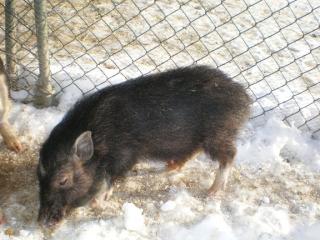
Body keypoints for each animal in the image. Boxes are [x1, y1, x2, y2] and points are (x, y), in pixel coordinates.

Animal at [37, 65, 251, 227]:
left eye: (63, 180)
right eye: (39, 177)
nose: (41, 221)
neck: (101, 138)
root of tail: (244, 98)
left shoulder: (125, 156)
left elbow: (109, 180)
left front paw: (99, 202)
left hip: (218, 134)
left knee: (230, 154)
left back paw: (212, 192)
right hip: (199, 138)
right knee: (192, 154)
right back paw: (166, 168)